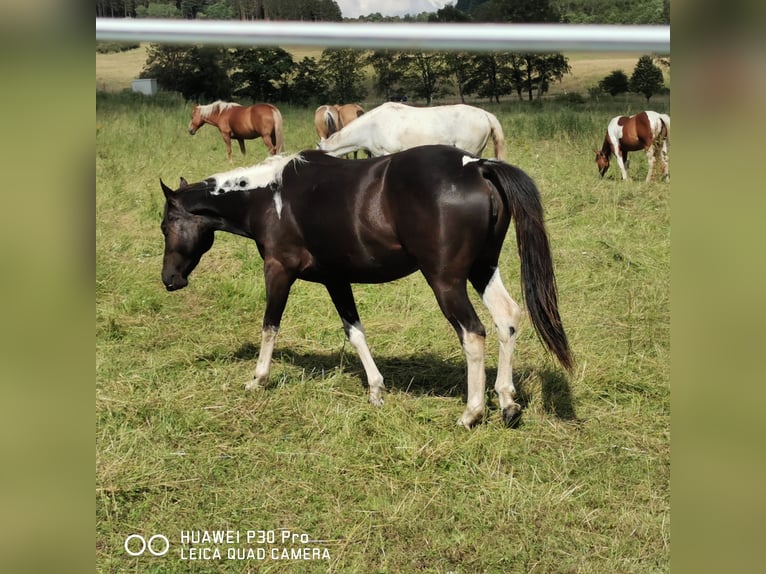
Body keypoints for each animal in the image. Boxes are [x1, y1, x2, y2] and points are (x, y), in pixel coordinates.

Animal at [160, 145, 572, 428]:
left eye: (166, 225)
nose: (169, 279)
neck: (269, 196)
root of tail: (476, 165)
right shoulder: (336, 279)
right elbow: (355, 332)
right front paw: (375, 390)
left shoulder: (278, 270)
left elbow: (269, 327)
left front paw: (257, 379)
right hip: (482, 268)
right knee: (507, 319)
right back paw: (507, 402)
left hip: (446, 281)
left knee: (473, 333)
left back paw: (471, 413)